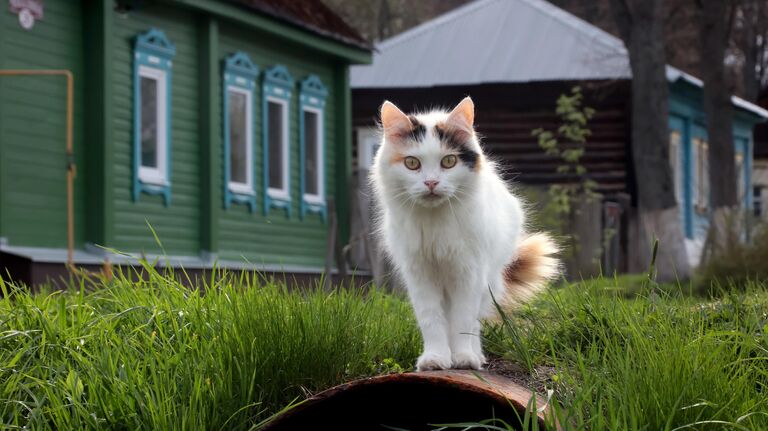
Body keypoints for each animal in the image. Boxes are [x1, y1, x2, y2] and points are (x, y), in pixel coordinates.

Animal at [370, 98, 560, 372]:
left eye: (449, 161)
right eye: (412, 163)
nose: (431, 183)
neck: (435, 224)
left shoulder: (469, 273)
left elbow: (463, 320)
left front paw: (464, 359)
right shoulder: (420, 274)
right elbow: (431, 320)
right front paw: (435, 358)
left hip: (487, 281)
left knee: (474, 322)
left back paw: (475, 355)